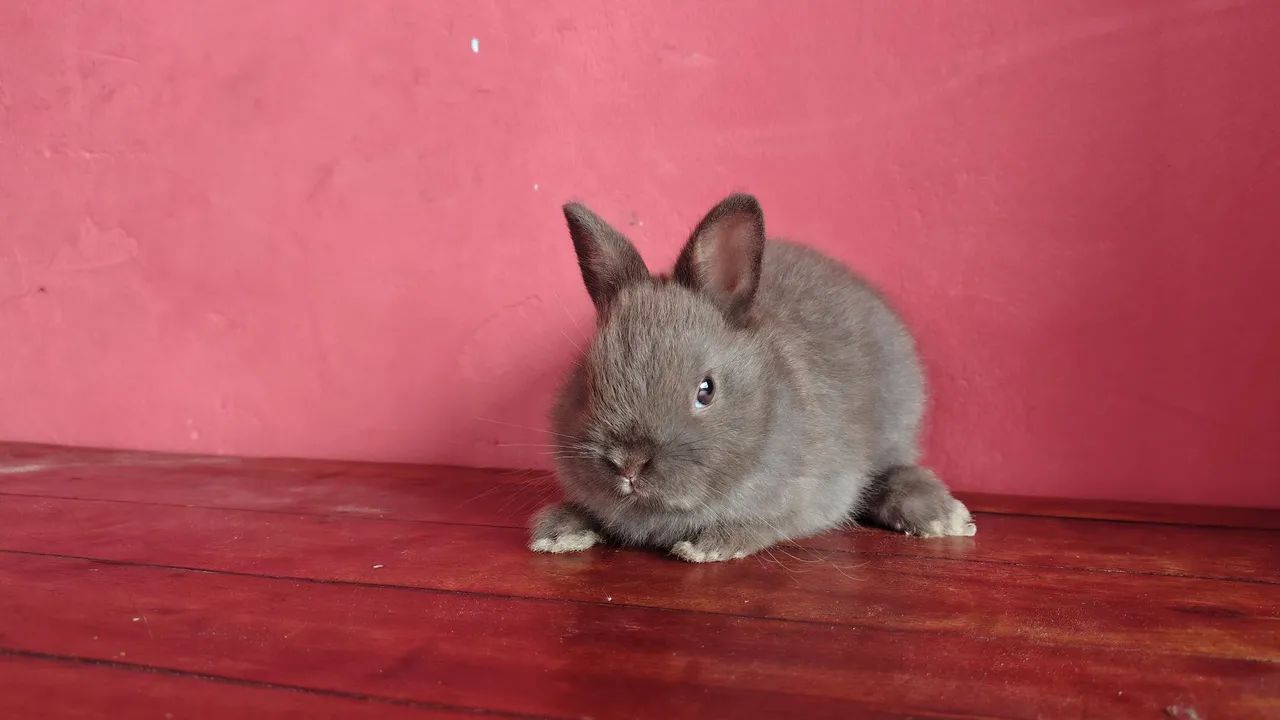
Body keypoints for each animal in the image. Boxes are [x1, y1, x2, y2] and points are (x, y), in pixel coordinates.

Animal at [528, 193, 975, 563]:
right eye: (588, 384)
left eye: (706, 390)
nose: (629, 463)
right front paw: (555, 532)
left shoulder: (803, 500)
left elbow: (760, 525)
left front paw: (707, 546)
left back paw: (943, 518)